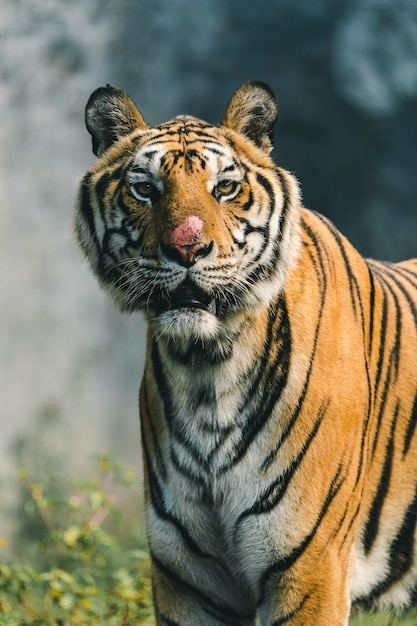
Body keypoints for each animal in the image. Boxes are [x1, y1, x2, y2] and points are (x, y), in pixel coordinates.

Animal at [73, 80, 416, 620]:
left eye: (225, 188)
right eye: (145, 189)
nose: (187, 248)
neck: (205, 369)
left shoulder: (310, 567)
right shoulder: (187, 579)